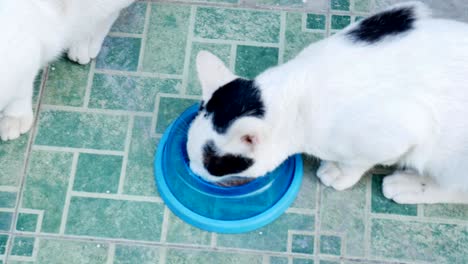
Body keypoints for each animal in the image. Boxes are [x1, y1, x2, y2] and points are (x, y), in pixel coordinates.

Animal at [186, 1, 468, 204]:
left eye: (213, 166)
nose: (193, 171)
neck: (296, 93)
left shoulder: (399, 132)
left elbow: (358, 161)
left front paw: (339, 172)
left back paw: (409, 186)